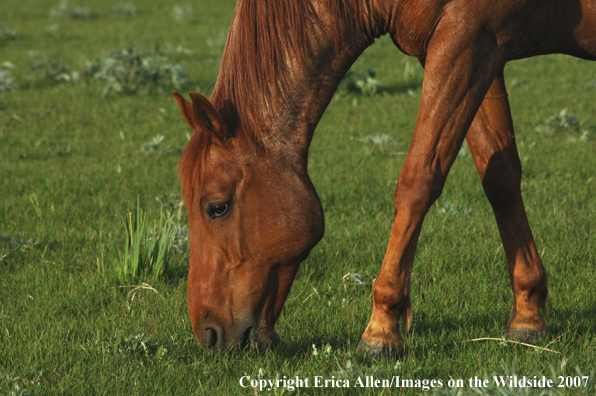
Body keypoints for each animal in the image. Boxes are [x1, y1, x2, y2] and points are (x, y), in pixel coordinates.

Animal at [172, 0, 596, 358]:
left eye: (217, 207)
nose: (208, 335)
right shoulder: (483, 48)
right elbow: (500, 178)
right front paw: (528, 317)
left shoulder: (466, 38)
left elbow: (417, 182)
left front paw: (381, 331)